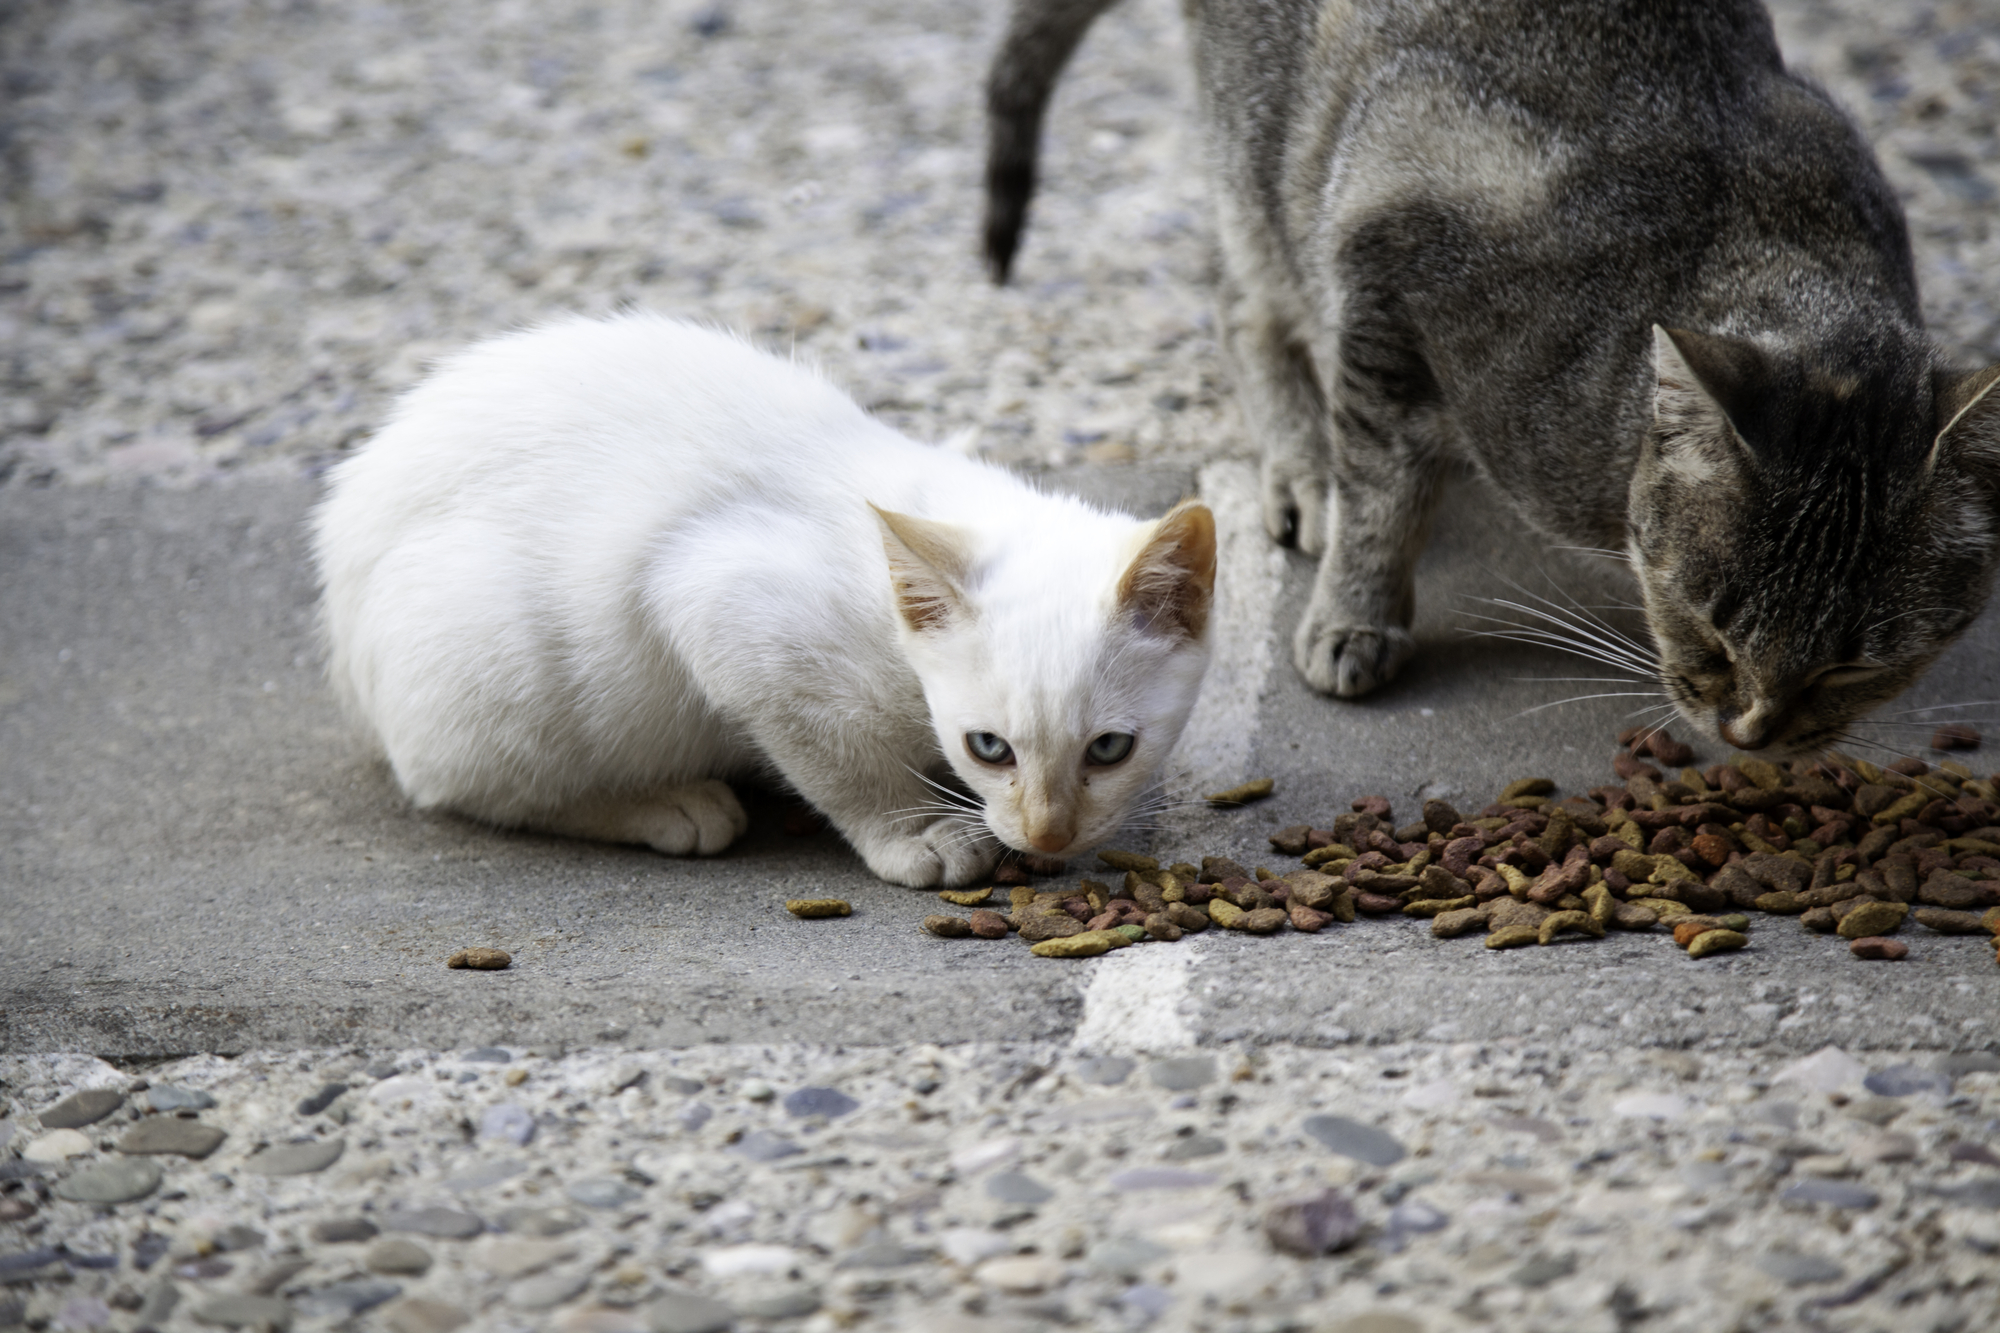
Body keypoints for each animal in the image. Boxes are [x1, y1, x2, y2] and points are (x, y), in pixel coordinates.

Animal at [314, 314, 1216, 880]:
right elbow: (841, 761)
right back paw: (664, 804)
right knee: (471, 786)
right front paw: (916, 832)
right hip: (500, 665)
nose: (1047, 832)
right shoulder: (725, 606)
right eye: (989, 746)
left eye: (1110, 749)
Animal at [984, 0, 2000, 752]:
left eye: (1854, 665)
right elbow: (1382, 493)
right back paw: (1302, 467)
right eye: (1707, 620)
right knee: (1240, 293)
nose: (1752, 734)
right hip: (1264, 154)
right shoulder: (1388, 266)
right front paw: (1353, 618)